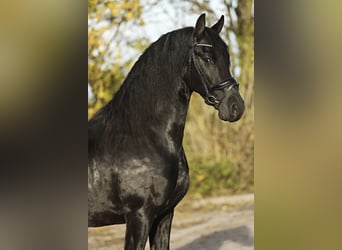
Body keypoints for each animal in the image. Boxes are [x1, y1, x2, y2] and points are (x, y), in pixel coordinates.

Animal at [87, 14, 243, 250]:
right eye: (207, 58)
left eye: (227, 58)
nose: (236, 107)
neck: (143, 138)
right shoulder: (139, 215)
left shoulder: (164, 215)